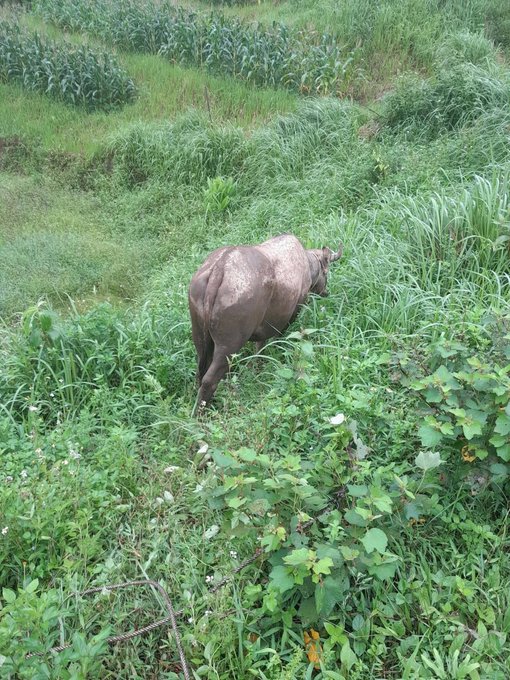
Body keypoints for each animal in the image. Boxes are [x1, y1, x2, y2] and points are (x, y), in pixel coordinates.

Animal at [188, 233, 343, 407]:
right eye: (326, 272)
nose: (326, 292)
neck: (309, 267)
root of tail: (218, 270)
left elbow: (259, 348)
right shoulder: (294, 311)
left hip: (200, 337)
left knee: (200, 372)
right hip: (229, 345)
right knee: (209, 380)